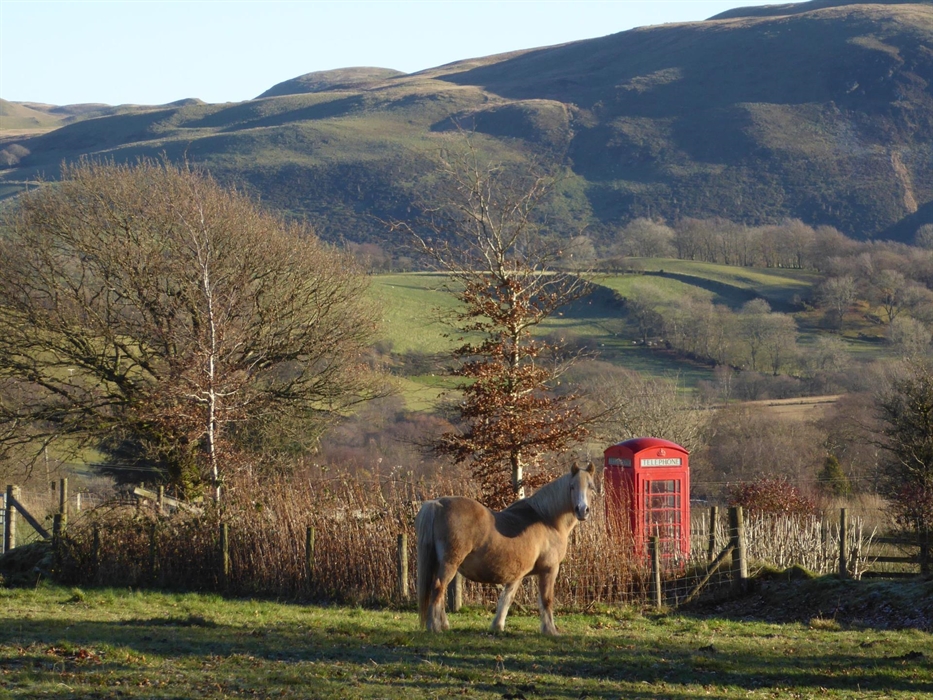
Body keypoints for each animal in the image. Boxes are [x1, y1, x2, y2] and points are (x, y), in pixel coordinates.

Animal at [415, 462, 596, 635]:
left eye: (591, 487)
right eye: (572, 486)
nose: (582, 510)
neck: (547, 520)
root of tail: (437, 504)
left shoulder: (518, 574)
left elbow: (507, 598)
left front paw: (498, 626)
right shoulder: (549, 569)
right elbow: (546, 599)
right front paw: (550, 630)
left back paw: (444, 625)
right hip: (449, 563)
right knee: (438, 588)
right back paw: (434, 627)